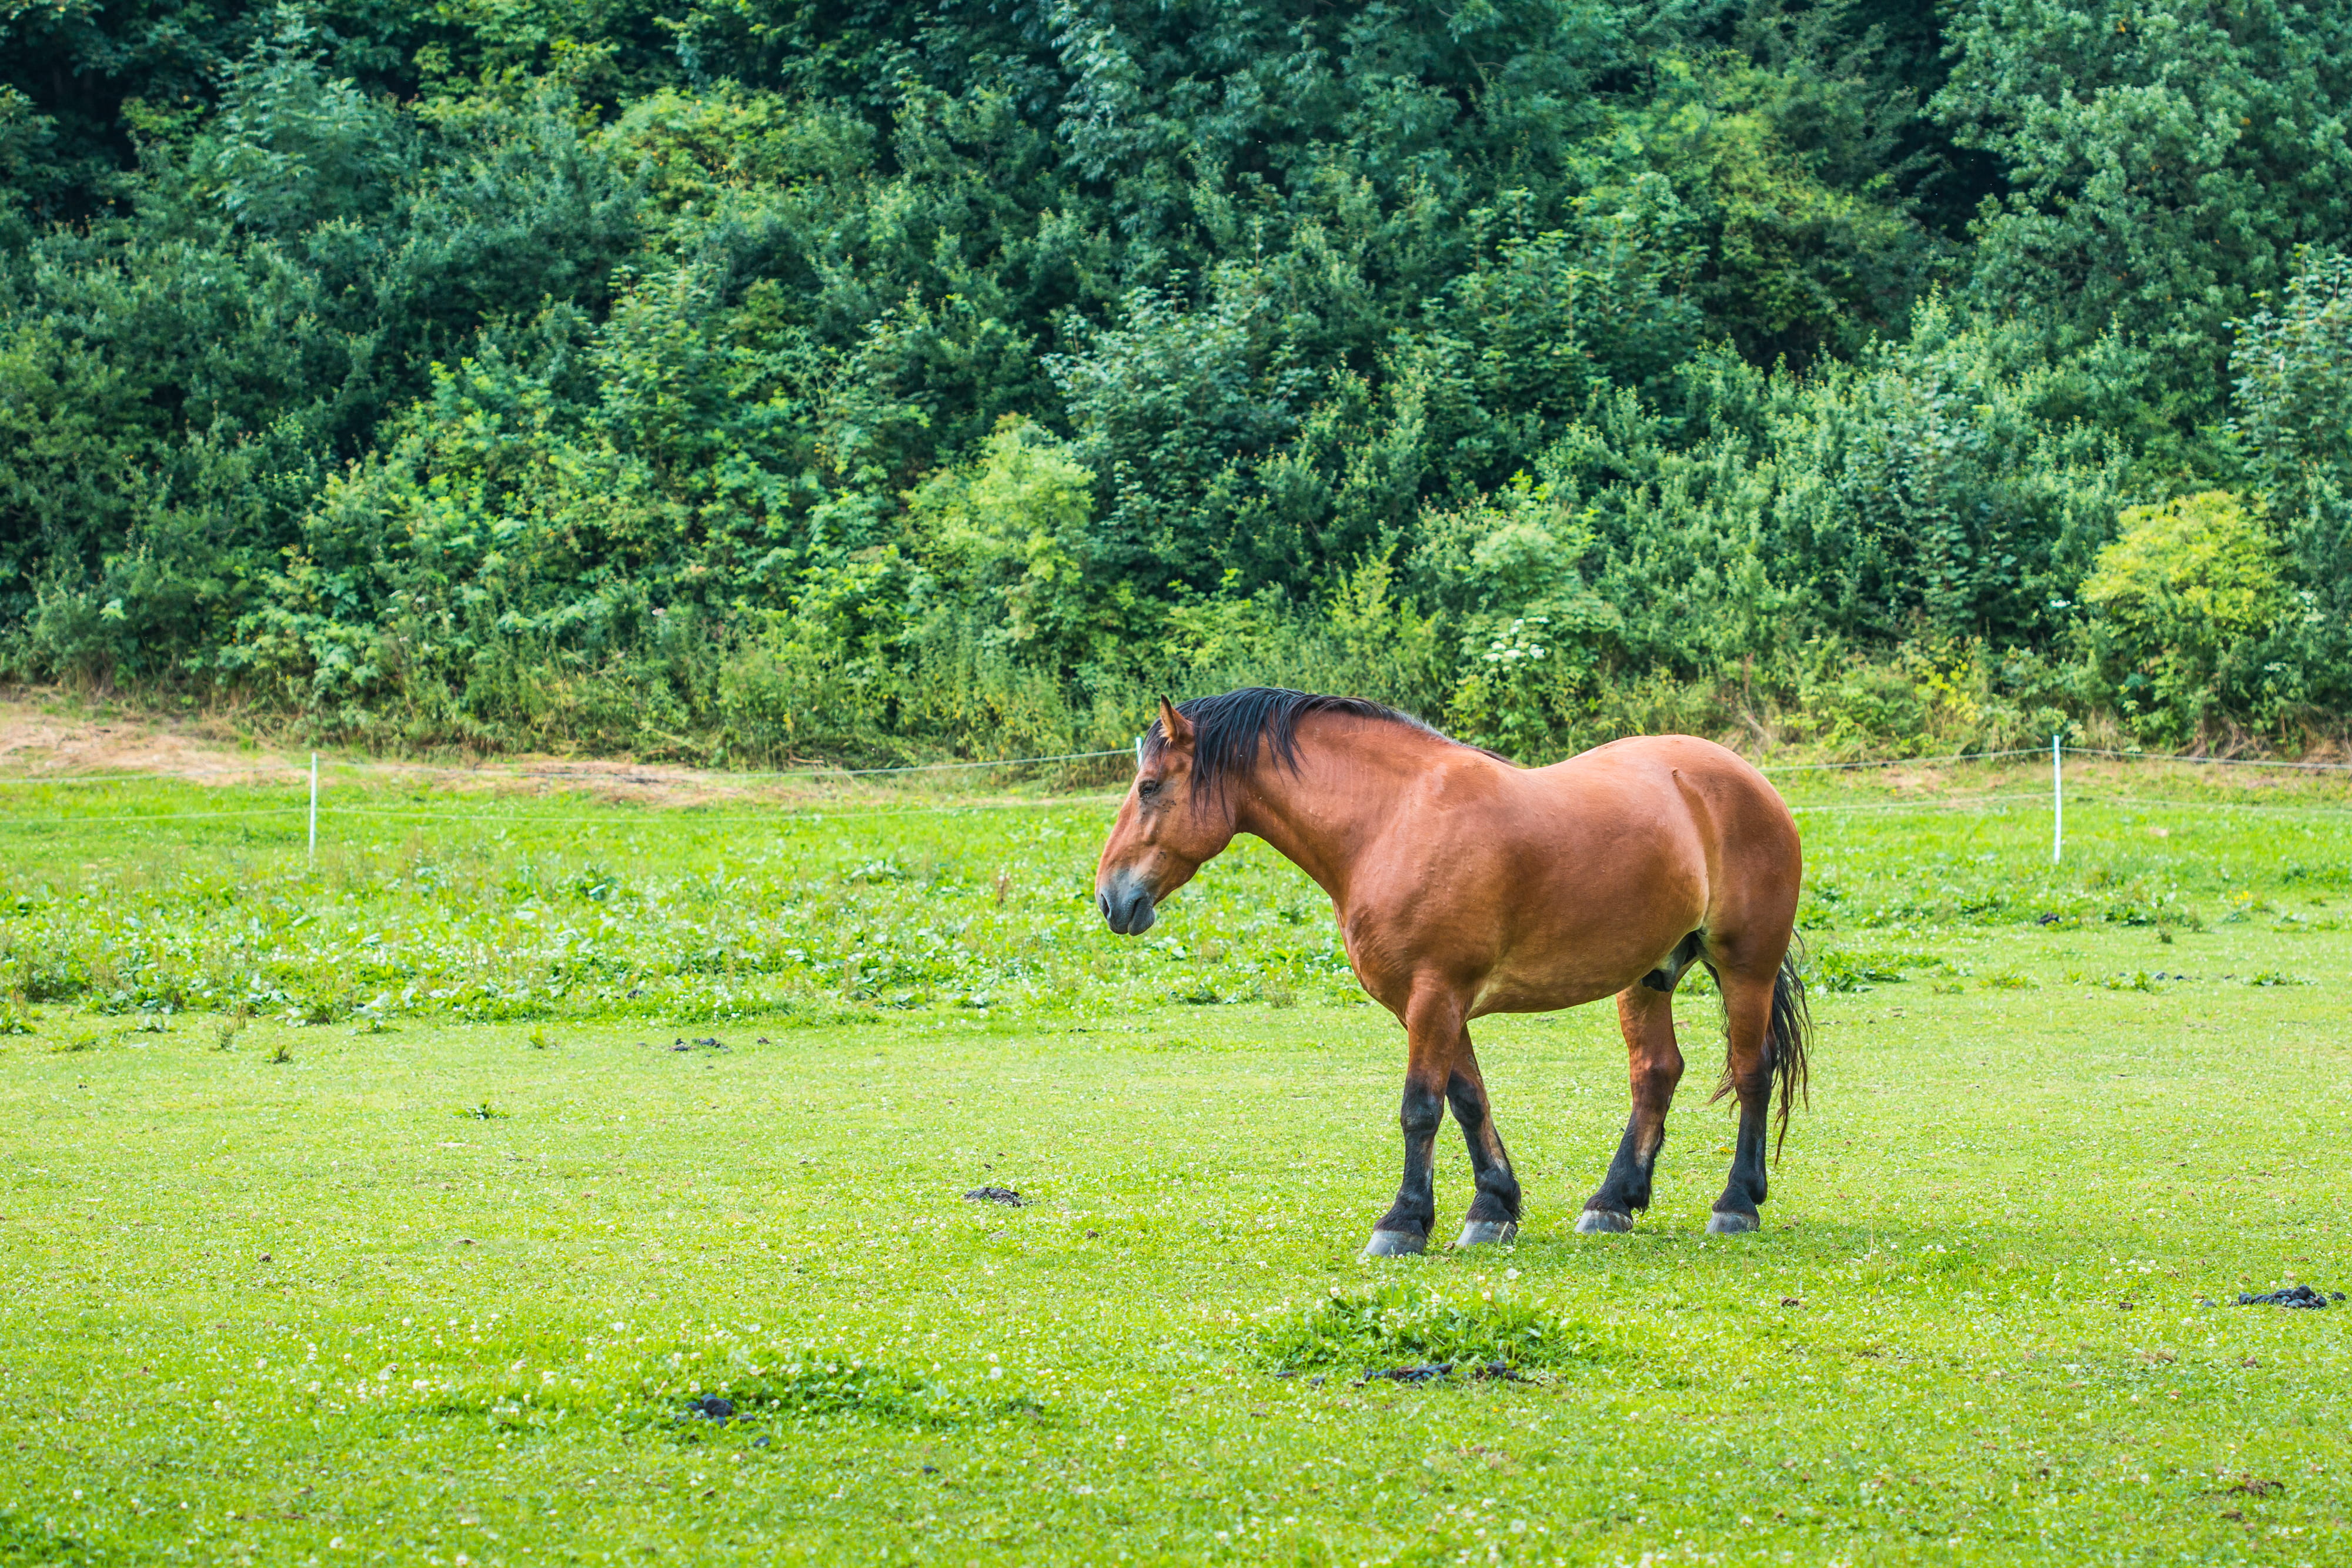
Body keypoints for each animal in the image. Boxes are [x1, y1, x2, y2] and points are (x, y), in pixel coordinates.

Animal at [1092, 687, 1811, 1259]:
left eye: (1149, 788)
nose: (1110, 899)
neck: (1391, 822)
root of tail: (1747, 778)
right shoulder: (1434, 1003)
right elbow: (1468, 1102)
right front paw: (1492, 1209)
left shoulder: (1435, 996)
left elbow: (1420, 1108)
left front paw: (1404, 1222)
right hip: (1647, 976)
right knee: (1655, 1073)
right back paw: (1613, 1201)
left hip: (1744, 965)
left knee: (1751, 1070)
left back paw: (1736, 1203)